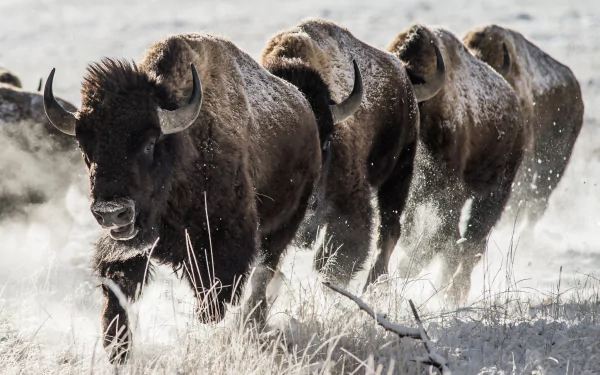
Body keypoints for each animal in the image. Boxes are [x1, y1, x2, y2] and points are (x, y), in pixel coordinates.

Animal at [42, 33, 360, 364]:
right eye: (84, 146)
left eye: (149, 144)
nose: (111, 211)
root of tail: (304, 107)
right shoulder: (128, 247)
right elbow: (118, 292)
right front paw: (118, 351)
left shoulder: (223, 247)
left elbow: (214, 300)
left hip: (283, 226)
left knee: (265, 274)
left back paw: (253, 323)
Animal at [262, 18, 426, 288]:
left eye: (327, 141)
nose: (310, 203)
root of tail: (403, 75)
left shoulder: (350, 201)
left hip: (400, 169)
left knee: (389, 229)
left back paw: (373, 285)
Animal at [390, 25, 524, 304]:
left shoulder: (450, 192)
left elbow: (442, 236)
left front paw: (407, 268)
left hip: (495, 192)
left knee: (474, 240)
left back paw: (454, 292)